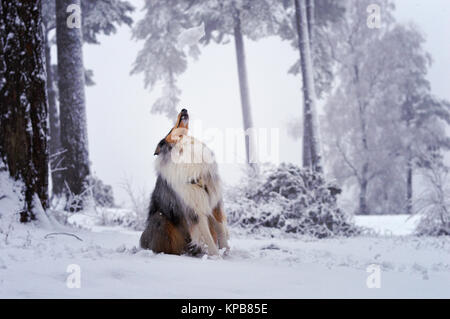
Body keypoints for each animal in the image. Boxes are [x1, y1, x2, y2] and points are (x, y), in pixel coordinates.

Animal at [141, 109, 230, 256]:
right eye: (171, 129)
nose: (184, 109)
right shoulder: (195, 210)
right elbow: (208, 240)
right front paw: (217, 257)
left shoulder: (214, 203)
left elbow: (222, 232)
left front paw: (228, 254)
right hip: (160, 219)